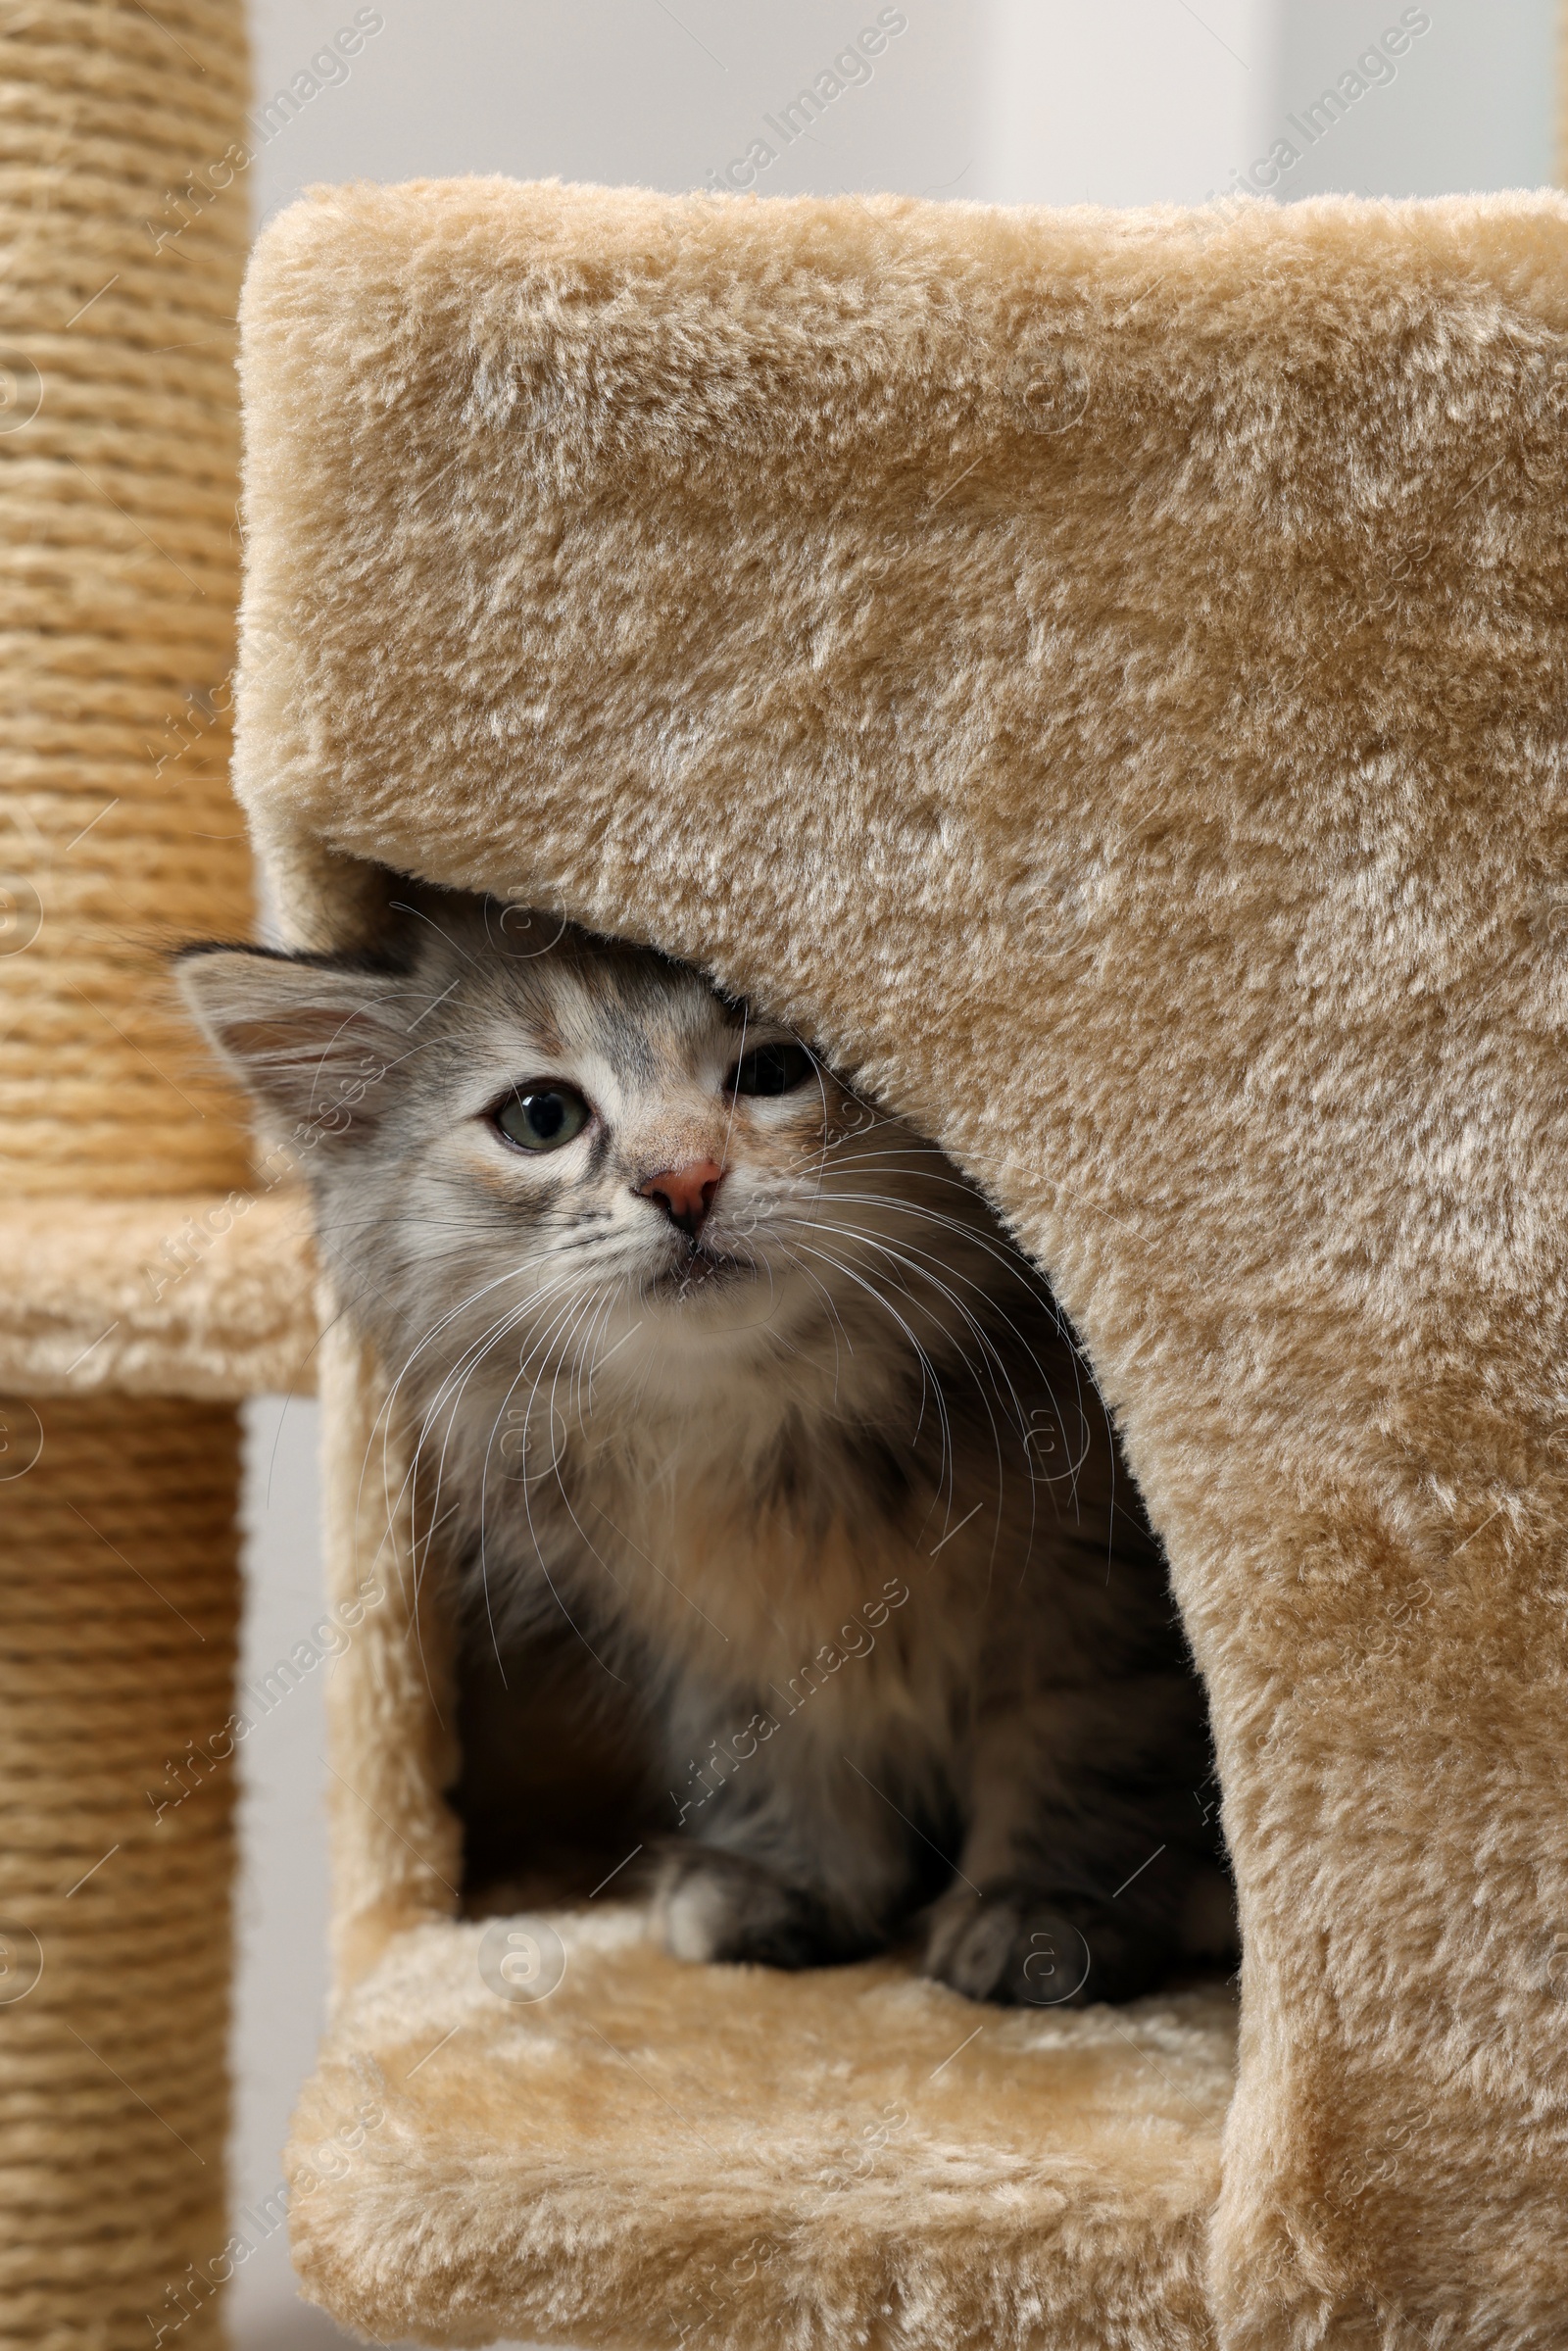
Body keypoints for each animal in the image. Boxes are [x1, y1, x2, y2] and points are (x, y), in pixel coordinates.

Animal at [184, 884, 1231, 2002]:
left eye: (774, 1072)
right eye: (540, 1117)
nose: (683, 1179)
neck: (767, 1435)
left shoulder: (1098, 1606)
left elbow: (1080, 1753)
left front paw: (1045, 1911)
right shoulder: (723, 1638)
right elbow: (779, 1751)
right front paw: (791, 1879)